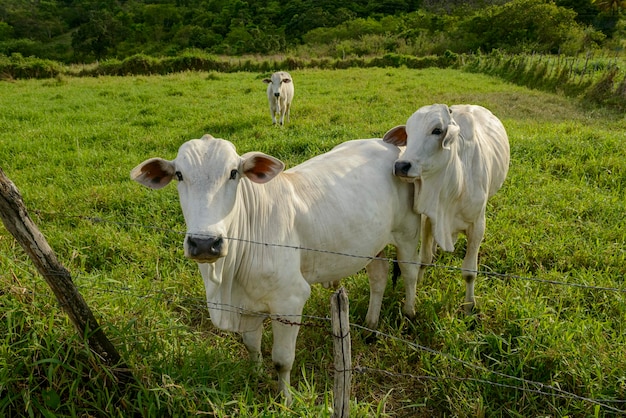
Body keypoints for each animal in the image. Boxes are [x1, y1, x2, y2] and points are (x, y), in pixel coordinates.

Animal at [380, 103, 508, 314]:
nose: (401, 166)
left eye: (437, 131)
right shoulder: (430, 218)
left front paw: (469, 306)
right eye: (408, 132)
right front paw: (420, 282)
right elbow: (424, 258)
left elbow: (469, 272)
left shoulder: (478, 225)